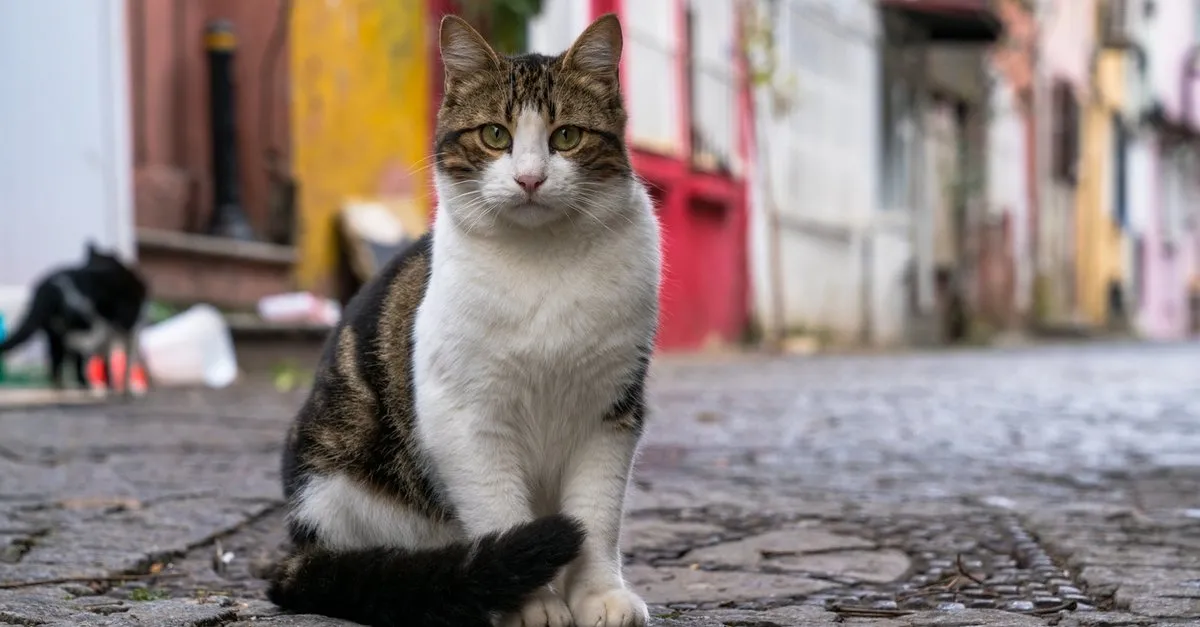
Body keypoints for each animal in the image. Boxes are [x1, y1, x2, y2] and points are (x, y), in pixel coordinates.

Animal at [0, 241, 148, 393]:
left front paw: (111, 385)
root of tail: (47, 287)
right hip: (84, 324)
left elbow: (107, 360)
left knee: (58, 358)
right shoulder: (128, 327)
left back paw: (64, 385)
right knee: (75, 347)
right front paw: (123, 388)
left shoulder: (115, 333)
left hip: (54, 332)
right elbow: (125, 360)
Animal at [264, 12, 662, 624]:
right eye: (495, 135)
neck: (542, 259)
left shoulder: (611, 412)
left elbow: (597, 514)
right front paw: (530, 602)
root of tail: (299, 550)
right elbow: (500, 508)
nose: (530, 179)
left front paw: (599, 595)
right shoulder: (464, 418)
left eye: (565, 136)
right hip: (338, 487)